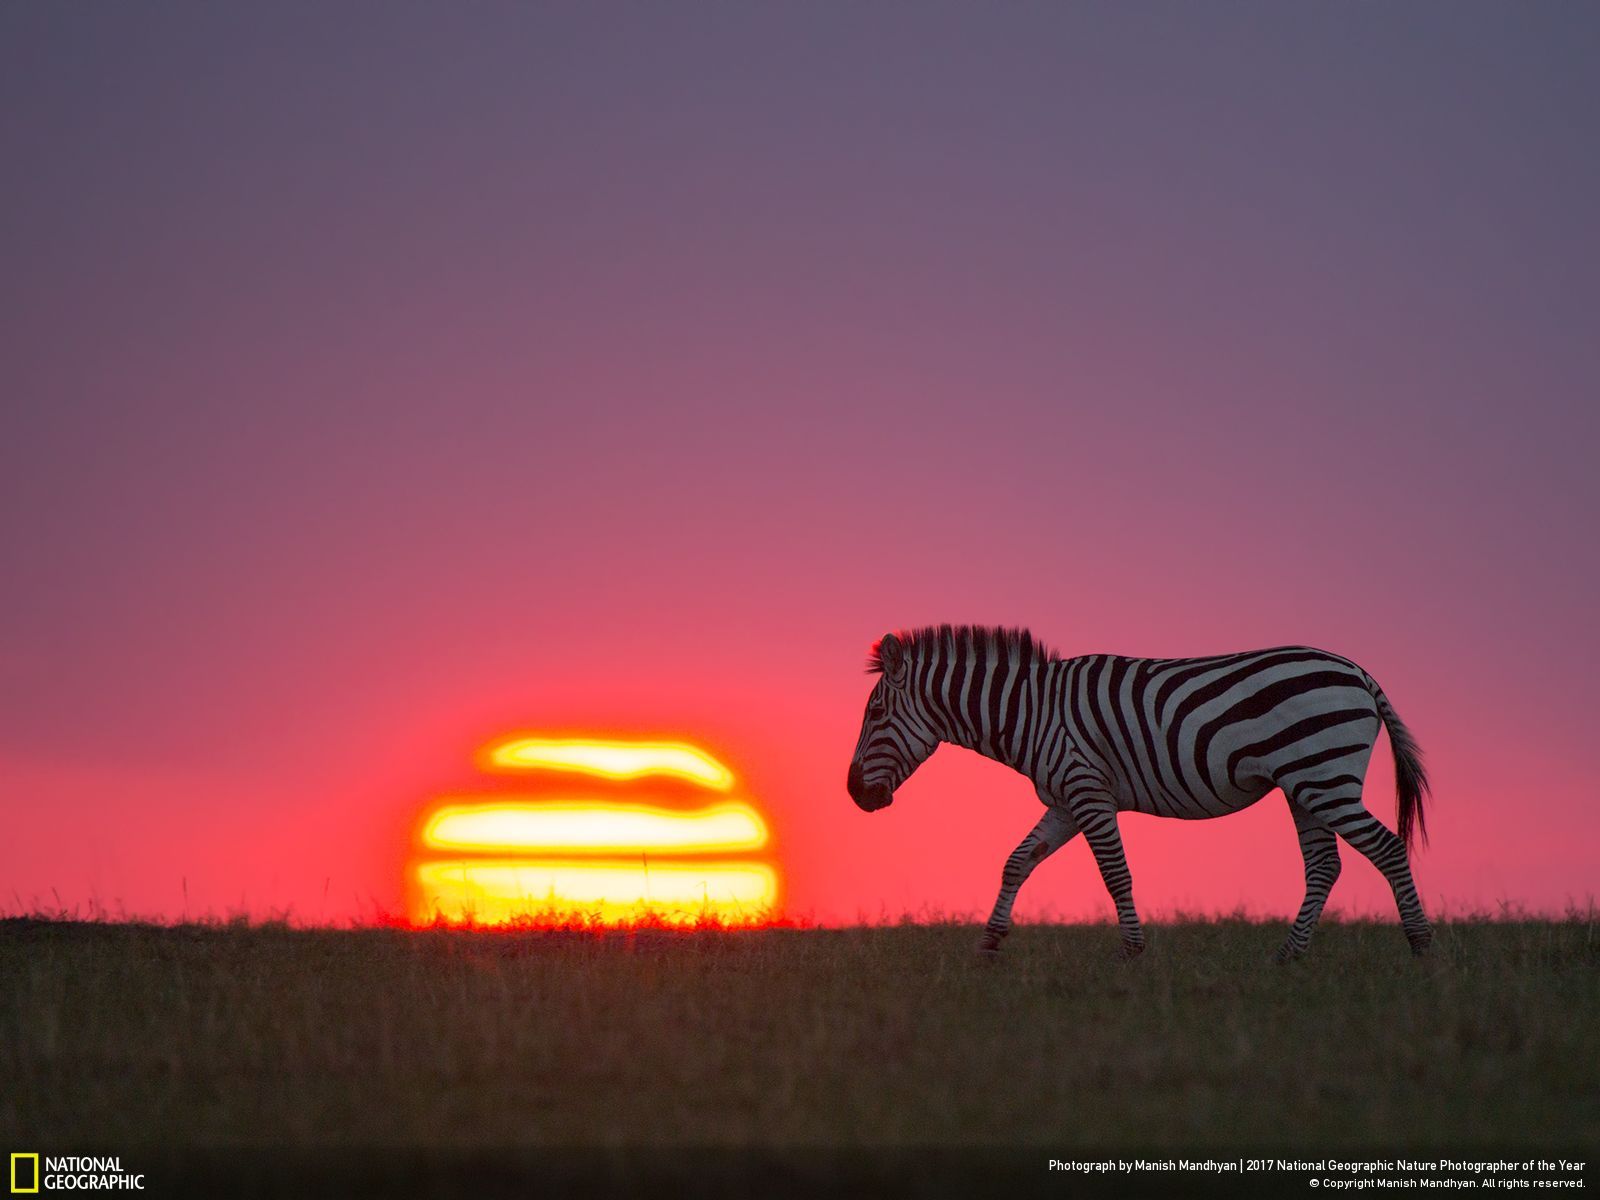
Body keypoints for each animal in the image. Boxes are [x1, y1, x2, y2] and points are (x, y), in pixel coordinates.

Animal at [844, 624, 1433, 966]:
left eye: (875, 713)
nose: (853, 795)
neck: (1032, 712)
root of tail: (1358, 672)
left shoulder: (1087, 789)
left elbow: (1114, 873)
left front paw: (1132, 951)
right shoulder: (1063, 801)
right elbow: (1017, 861)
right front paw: (989, 944)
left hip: (1324, 778)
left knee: (1386, 848)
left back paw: (1421, 948)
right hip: (1305, 785)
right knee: (1324, 865)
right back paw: (1288, 956)